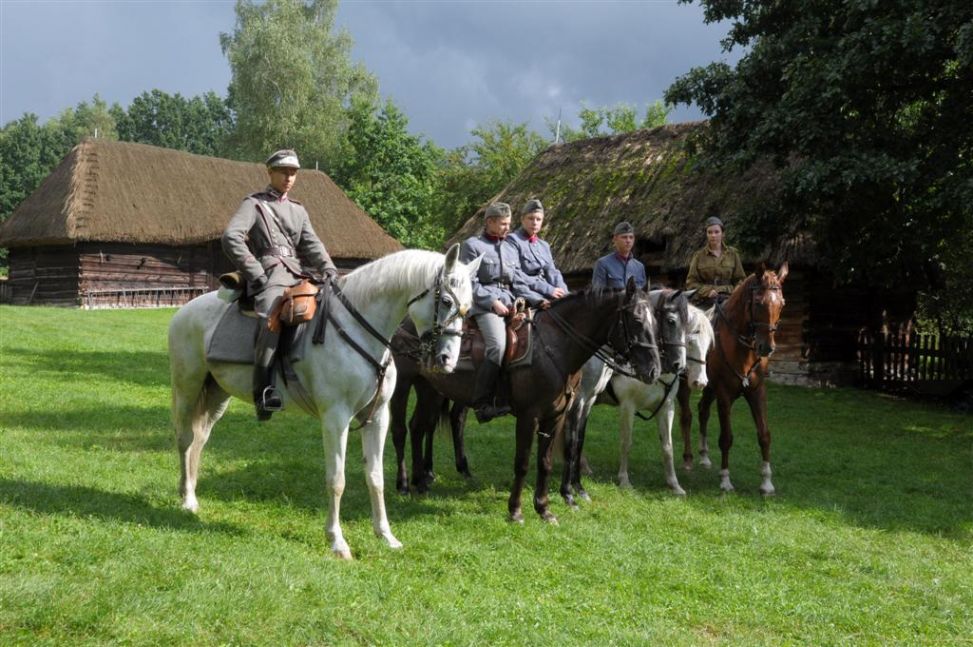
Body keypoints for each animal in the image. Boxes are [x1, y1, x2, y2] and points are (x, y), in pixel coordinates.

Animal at [168, 246, 478, 560]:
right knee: (185, 439)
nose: (448, 361)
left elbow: (375, 476)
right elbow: (336, 480)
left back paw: (191, 491)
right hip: (187, 387)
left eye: (469, 307)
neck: (358, 329)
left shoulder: (377, 418)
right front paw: (337, 541)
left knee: (200, 440)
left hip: (217, 395)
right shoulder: (336, 419)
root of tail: (185, 310)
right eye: (447, 300)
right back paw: (187, 499)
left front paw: (386, 535)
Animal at [390, 280, 660, 524]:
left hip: (430, 390)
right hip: (402, 383)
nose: (654, 370)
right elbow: (522, 463)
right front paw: (516, 511)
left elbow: (546, 462)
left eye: (655, 322)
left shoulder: (555, 417)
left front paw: (544, 509)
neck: (554, 346)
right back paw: (403, 484)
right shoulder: (529, 417)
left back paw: (421, 482)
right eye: (636, 320)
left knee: (418, 427)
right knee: (401, 430)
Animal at [680, 262, 784, 492]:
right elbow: (726, 438)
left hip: (708, 388)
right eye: (758, 303)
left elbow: (765, 435)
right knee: (687, 416)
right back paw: (688, 459)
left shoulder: (757, 392)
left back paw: (704, 457)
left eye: (782, 304)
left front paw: (767, 482)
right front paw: (725, 480)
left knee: (702, 411)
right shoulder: (724, 395)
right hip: (687, 385)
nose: (767, 347)